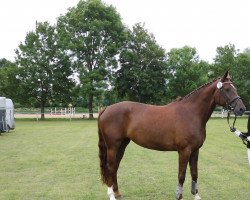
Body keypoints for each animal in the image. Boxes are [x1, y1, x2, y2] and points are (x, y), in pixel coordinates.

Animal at [97, 71, 246, 199]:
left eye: (235, 88)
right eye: (226, 89)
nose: (241, 109)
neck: (191, 113)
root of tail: (106, 108)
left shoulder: (195, 151)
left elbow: (194, 173)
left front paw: (196, 195)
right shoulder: (184, 151)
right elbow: (181, 175)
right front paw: (179, 196)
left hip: (122, 145)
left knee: (115, 167)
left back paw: (117, 193)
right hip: (112, 146)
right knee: (110, 167)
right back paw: (111, 195)